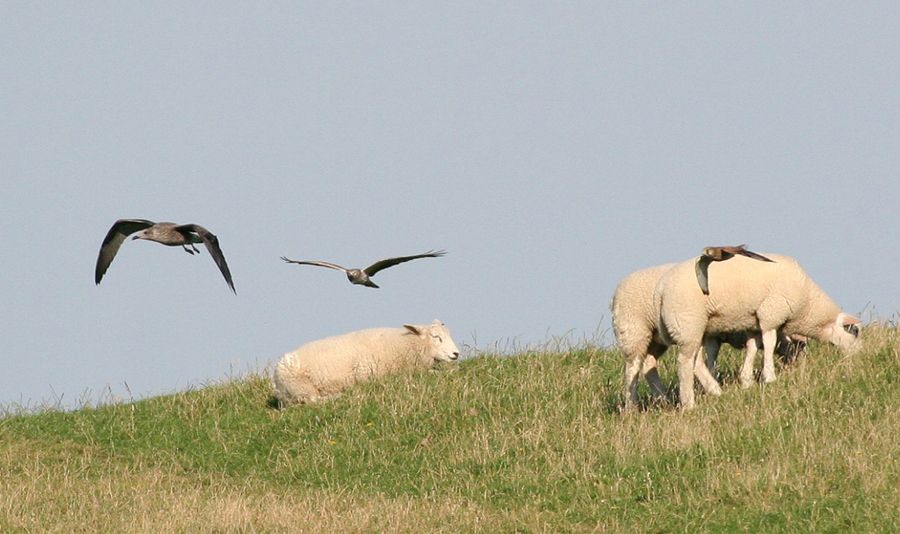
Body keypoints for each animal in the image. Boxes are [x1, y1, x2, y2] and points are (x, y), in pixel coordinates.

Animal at [656, 253, 860, 412]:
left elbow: (752, 347)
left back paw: (712, 385)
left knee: (696, 359)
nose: (858, 356)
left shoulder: (754, 323)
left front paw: (746, 380)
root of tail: (661, 288)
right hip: (688, 321)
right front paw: (769, 376)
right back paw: (690, 401)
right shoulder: (771, 314)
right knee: (685, 362)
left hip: (693, 327)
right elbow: (769, 342)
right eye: (855, 332)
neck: (808, 304)